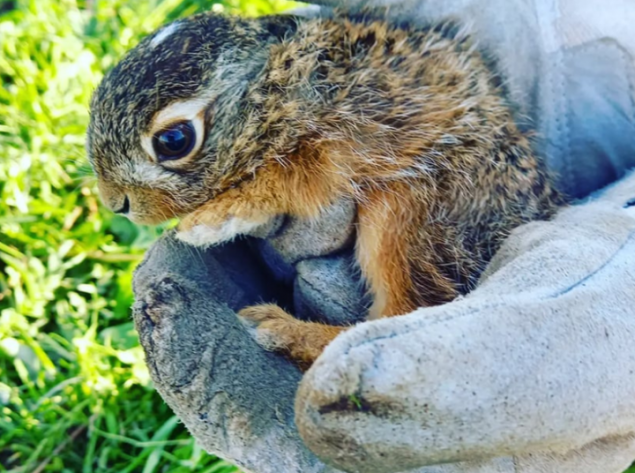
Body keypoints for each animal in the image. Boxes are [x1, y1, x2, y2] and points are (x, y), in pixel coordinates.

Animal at [88, 9, 560, 366]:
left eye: (174, 140)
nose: (115, 203)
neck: (269, 92)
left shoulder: (341, 143)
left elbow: (281, 183)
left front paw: (211, 220)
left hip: (410, 215)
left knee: (397, 321)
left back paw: (276, 328)